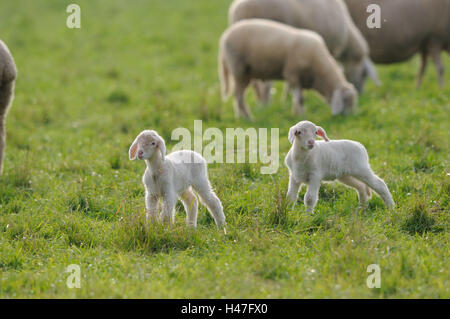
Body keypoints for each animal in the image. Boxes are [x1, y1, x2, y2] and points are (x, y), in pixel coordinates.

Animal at [220, 19, 356, 121]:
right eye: (346, 100)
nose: (347, 119)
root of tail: (225, 36)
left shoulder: (300, 79)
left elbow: (298, 98)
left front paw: (296, 114)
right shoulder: (292, 73)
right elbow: (300, 99)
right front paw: (302, 116)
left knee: (237, 97)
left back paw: (240, 117)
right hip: (239, 71)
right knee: (238, 97)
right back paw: (248, 118)